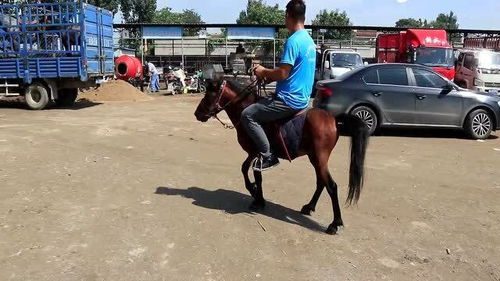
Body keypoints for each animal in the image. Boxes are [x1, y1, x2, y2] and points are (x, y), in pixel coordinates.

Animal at [193, 77, 370, 233]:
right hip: (315, 158)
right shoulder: (257, 154)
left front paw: (255, 194)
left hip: (320, 158)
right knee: (321, 182)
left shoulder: (256, 151)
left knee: (331, 186)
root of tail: (333, 119)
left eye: (208, 95)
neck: (244, 110)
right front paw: (258, 197)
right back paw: (309, 207)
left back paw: (335, 223)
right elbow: (252, 172)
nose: (197, 114)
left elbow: (248, 171)